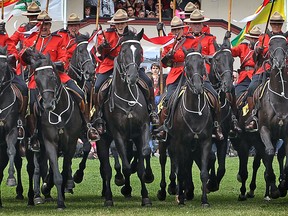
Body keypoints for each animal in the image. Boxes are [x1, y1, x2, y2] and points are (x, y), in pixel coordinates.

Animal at [28, 51, 82, 209]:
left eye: (52, 76)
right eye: (37, 79)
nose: (47, 105)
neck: (58, 113)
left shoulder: (71, 144)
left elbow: (63, 169)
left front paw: (62, 190)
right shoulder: (50, 143)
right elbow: (57, 174)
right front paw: (60, 202)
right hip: (38, 144)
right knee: (37, 167)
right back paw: (38, 195)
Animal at [95, 28, 153, 206]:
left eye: (140, 51)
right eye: (122, 51)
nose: (133, 77)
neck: (128, 97)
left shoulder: (142, 129)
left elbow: (144, 153)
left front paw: (146, 194)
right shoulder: (118, 133)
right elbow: (124, 164)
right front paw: (121, 180)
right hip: (103, 139)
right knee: (106, 169)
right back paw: (109, 197)